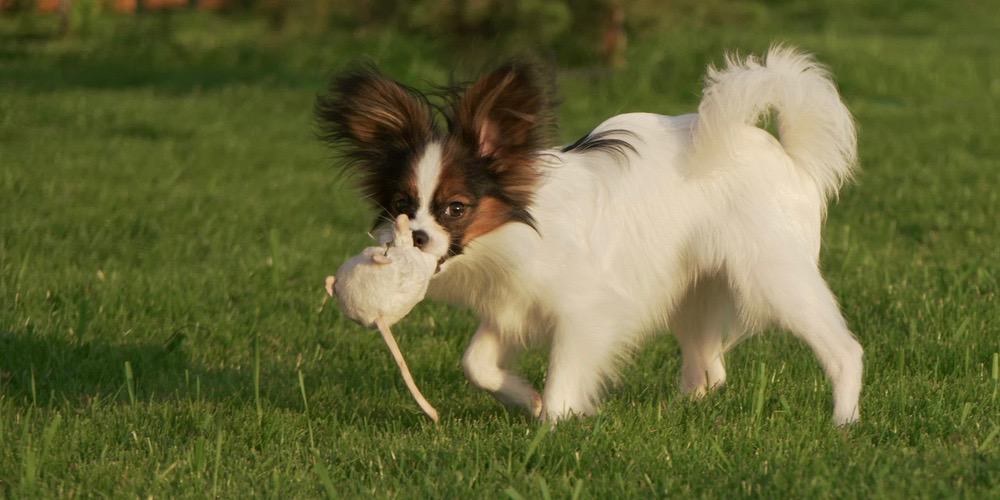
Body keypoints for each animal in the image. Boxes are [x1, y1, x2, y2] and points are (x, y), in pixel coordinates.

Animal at [322, 45, 868, 424]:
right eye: (401, 207)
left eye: (455, 209)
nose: (415, 237)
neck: (512, 231)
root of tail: (788, 154)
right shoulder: (512, 304)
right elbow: (475, 363)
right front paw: (525, 397)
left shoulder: (586, 312)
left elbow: (565, 375)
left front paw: (553, 424)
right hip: (690, 290)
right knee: (710, 371)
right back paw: (681, 411)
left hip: (773, 275)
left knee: (843, 351)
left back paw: (843, 422)